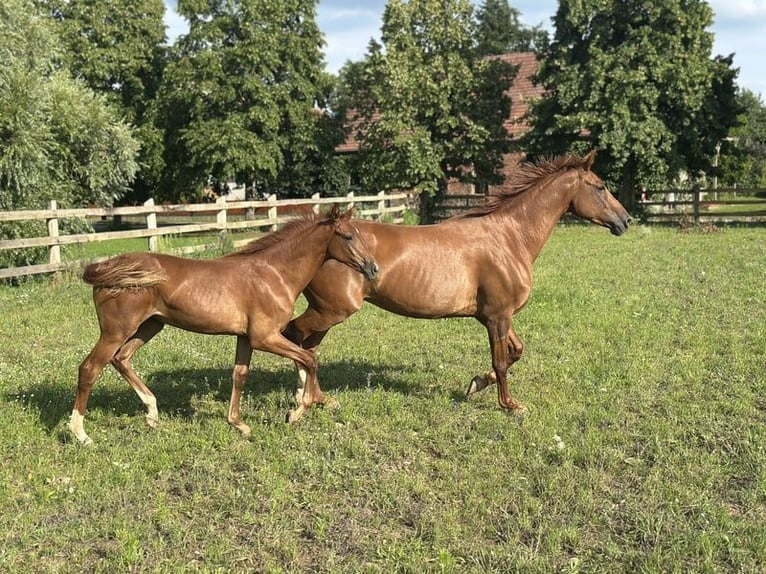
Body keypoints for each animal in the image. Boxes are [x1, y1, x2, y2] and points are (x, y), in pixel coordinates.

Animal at [70, 206, 379, 446]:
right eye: (348, 235)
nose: (373, 268)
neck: (274, 274)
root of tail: (106, 269)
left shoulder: (245, 338)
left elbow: (239, 375)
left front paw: (239, 424)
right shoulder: (265, 337)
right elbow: (309, 359)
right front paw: (296, 412)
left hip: (149, 327)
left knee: (122, 359)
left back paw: (152, 414)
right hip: (116, 331)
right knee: (90, 368)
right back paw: (80, 434)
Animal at [283, 152, 631, 419]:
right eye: (600, 187)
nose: (626, 221)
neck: (509, 238)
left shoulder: (496, 315)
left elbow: (516, 351)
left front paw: (475, 384)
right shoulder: (497, 317)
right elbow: (501, 361)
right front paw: (510, 405)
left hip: (327, 312)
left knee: (309, 346)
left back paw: (319, 399)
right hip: (331, 309)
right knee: (295, 337)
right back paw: (301, 400)